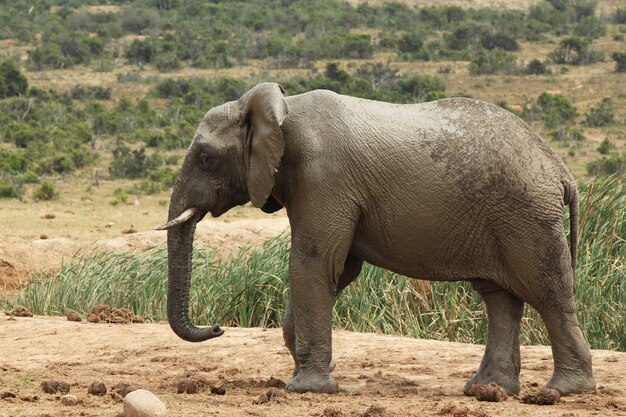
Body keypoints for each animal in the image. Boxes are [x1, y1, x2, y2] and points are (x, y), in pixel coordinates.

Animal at [156, 83, 596, 394]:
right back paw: (486, 390)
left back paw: (563, 391)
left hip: (526, 215)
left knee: (549, 294)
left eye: (206, 158)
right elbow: (338, 269)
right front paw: (311, 372)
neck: (281, 108)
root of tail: (561, 170)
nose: (217, 327)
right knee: (500, 298)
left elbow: (314, 263)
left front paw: (306, 388)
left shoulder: (323, 178)